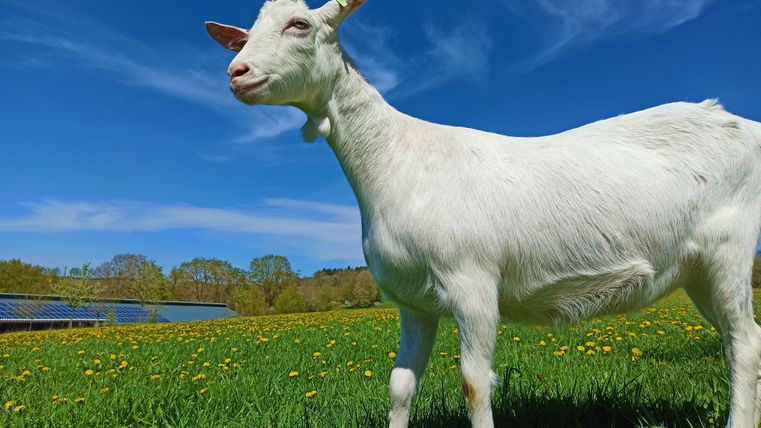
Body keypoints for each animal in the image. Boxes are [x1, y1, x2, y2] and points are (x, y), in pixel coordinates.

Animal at [205, 1, 761, 426]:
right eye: (243, 38)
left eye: (299, 24)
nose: (236, 74)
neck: (396, 158)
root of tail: (741, 122)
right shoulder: (413, 302)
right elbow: (400, 385)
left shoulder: (472, 284)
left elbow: (475, 384)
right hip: (696, 270)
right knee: (735, 343)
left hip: (729, 250)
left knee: (746, 344)